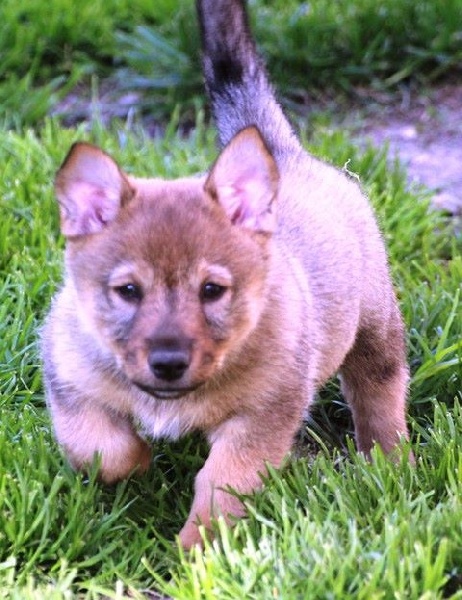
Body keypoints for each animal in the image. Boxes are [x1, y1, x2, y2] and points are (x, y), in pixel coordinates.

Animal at [41, 0, 412, 548]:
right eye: (127, 291)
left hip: (374, 327)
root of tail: (285, 154)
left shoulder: (259, 420)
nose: (168, 363)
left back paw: (390, 462)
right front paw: (139, 465)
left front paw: (197, 554)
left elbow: (221, 487)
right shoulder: (70, 381)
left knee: (380, 392)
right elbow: (100, 448)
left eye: (212, 290)